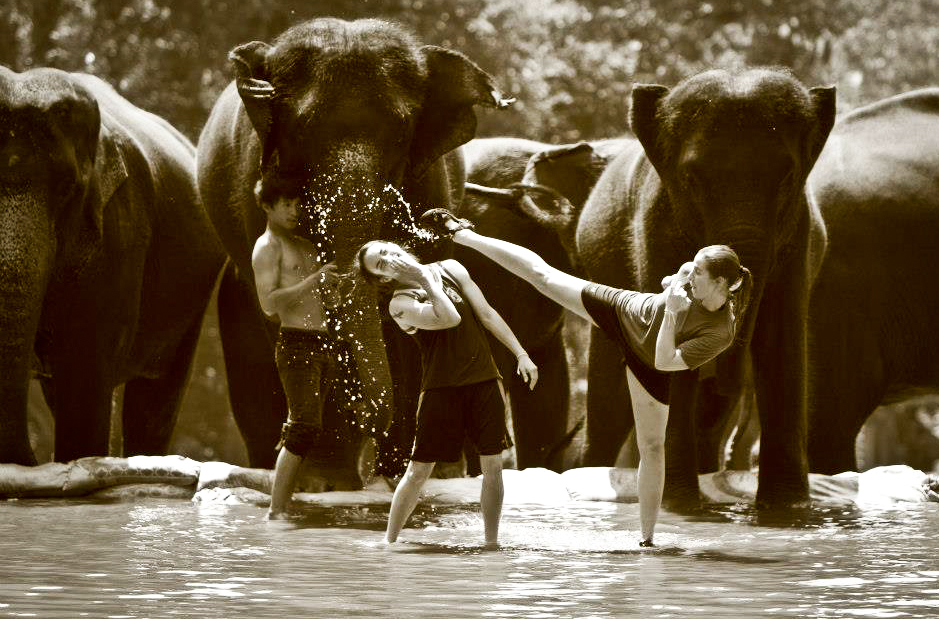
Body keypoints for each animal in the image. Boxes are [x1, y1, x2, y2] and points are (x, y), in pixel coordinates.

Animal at [195, 17, 511, 486]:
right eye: (301, 130)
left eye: (400, 132)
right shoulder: (254, 185)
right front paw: (327, 482)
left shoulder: (429, 176)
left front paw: (422, 472)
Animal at [569, 68, 835, 507]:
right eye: (691, 179)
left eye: (787, 178)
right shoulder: (655, 228)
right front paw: (677, 504)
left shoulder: (800, 237)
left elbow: (781, 342)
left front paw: (787, 510)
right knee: (608, 395)